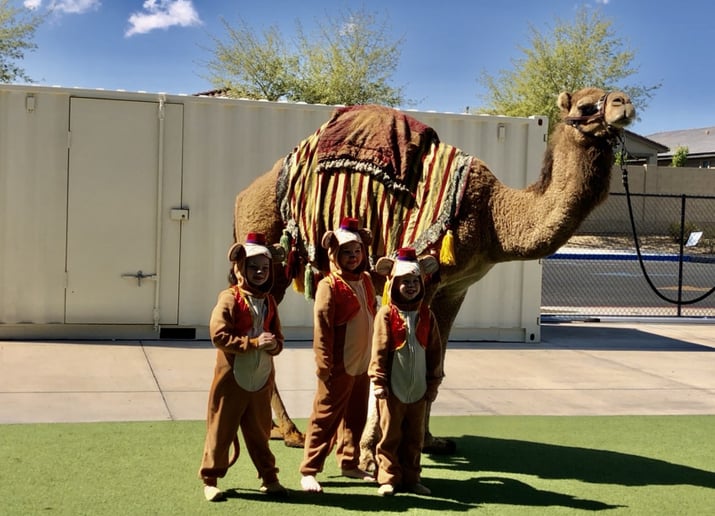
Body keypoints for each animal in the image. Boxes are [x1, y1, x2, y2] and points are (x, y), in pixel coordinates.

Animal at [231, 87, 635, 458]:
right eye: (587, 106)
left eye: (614, 95)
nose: (624, 104)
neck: (494, 217)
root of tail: (243, 195)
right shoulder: (418, 274)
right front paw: (371, 451)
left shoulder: (455, 289)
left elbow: (435, 366)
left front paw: (429, 441)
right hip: (272, 254)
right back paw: (291, 432)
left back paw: (279, 429)